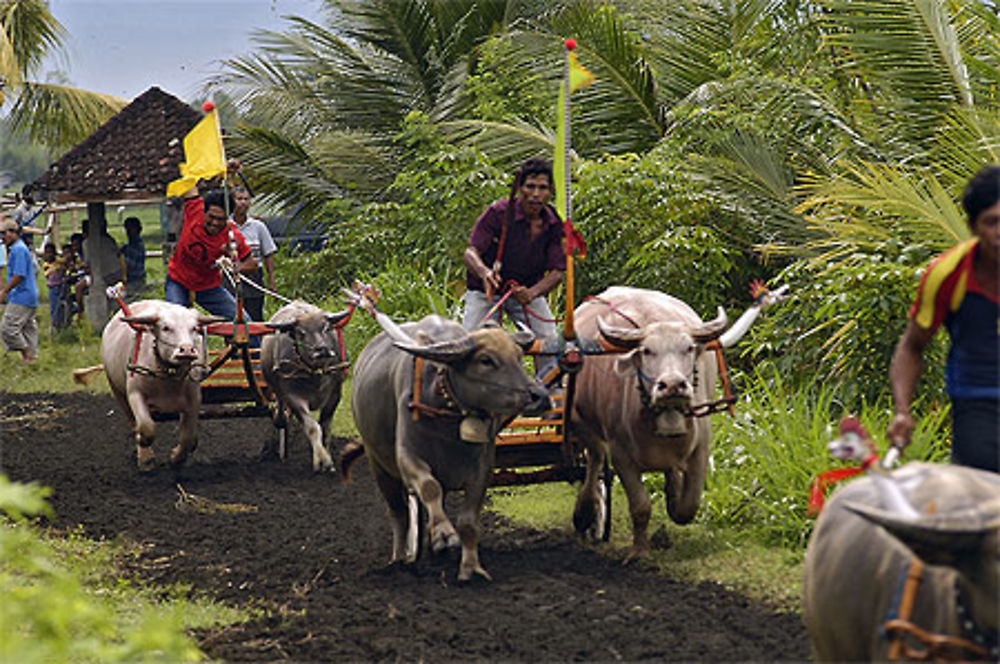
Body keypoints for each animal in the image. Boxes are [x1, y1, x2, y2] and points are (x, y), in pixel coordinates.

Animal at [99, 300, 221, 472]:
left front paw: (177, 457)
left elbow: (187, 436)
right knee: (132, 421)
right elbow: (146, 427)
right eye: (166, 328)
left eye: (193, 328)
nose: (187, 350)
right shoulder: (135, 394)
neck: (167, 377)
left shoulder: (194, 400)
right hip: (116, 390)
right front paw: (145, 455)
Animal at [260, 300, 350, 472]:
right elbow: (313, 428)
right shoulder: (294, 398)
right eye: (301, 332)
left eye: (326, 328)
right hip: (276, 388)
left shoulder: (335, 394)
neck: (315, 375)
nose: (322, 350)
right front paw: (322, 460)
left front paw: (326, 459)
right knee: (280, 407)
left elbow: (325, 428)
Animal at [344, 316, 548, 580]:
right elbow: (430, 488)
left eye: (518, 356)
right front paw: (443, 534)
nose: (540, 395)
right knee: (399, 513)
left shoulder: (482, 469)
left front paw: (470, 567)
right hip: (378, 463)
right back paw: (399, 558)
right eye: (486, 360)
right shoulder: (408, 457)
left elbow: (467, 521)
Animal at [572, 284, 780, 560]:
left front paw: (674, 498)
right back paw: (585, 513)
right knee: (594, 462)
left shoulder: (701, 449)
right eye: (647, 350)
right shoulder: (621, 455)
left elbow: (688, 506)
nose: (672, 385)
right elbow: (640, 506)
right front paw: (639, 551)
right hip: (584, 425)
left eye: (688, 348)